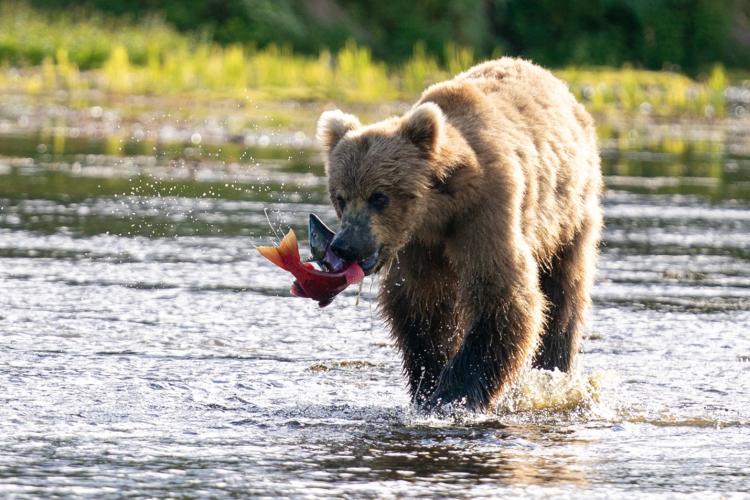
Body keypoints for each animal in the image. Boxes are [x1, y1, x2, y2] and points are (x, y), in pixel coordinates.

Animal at [318, 56, 604, 412]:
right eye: (340, 197)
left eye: (379, 196)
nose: (345, 246)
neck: (440, 211)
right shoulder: (418, 245)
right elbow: (420, 306)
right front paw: (428, 381)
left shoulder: (485, 214)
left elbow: (501, 297)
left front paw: (453, 395)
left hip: (569, 215)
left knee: (565, 291)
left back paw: (555, 368)